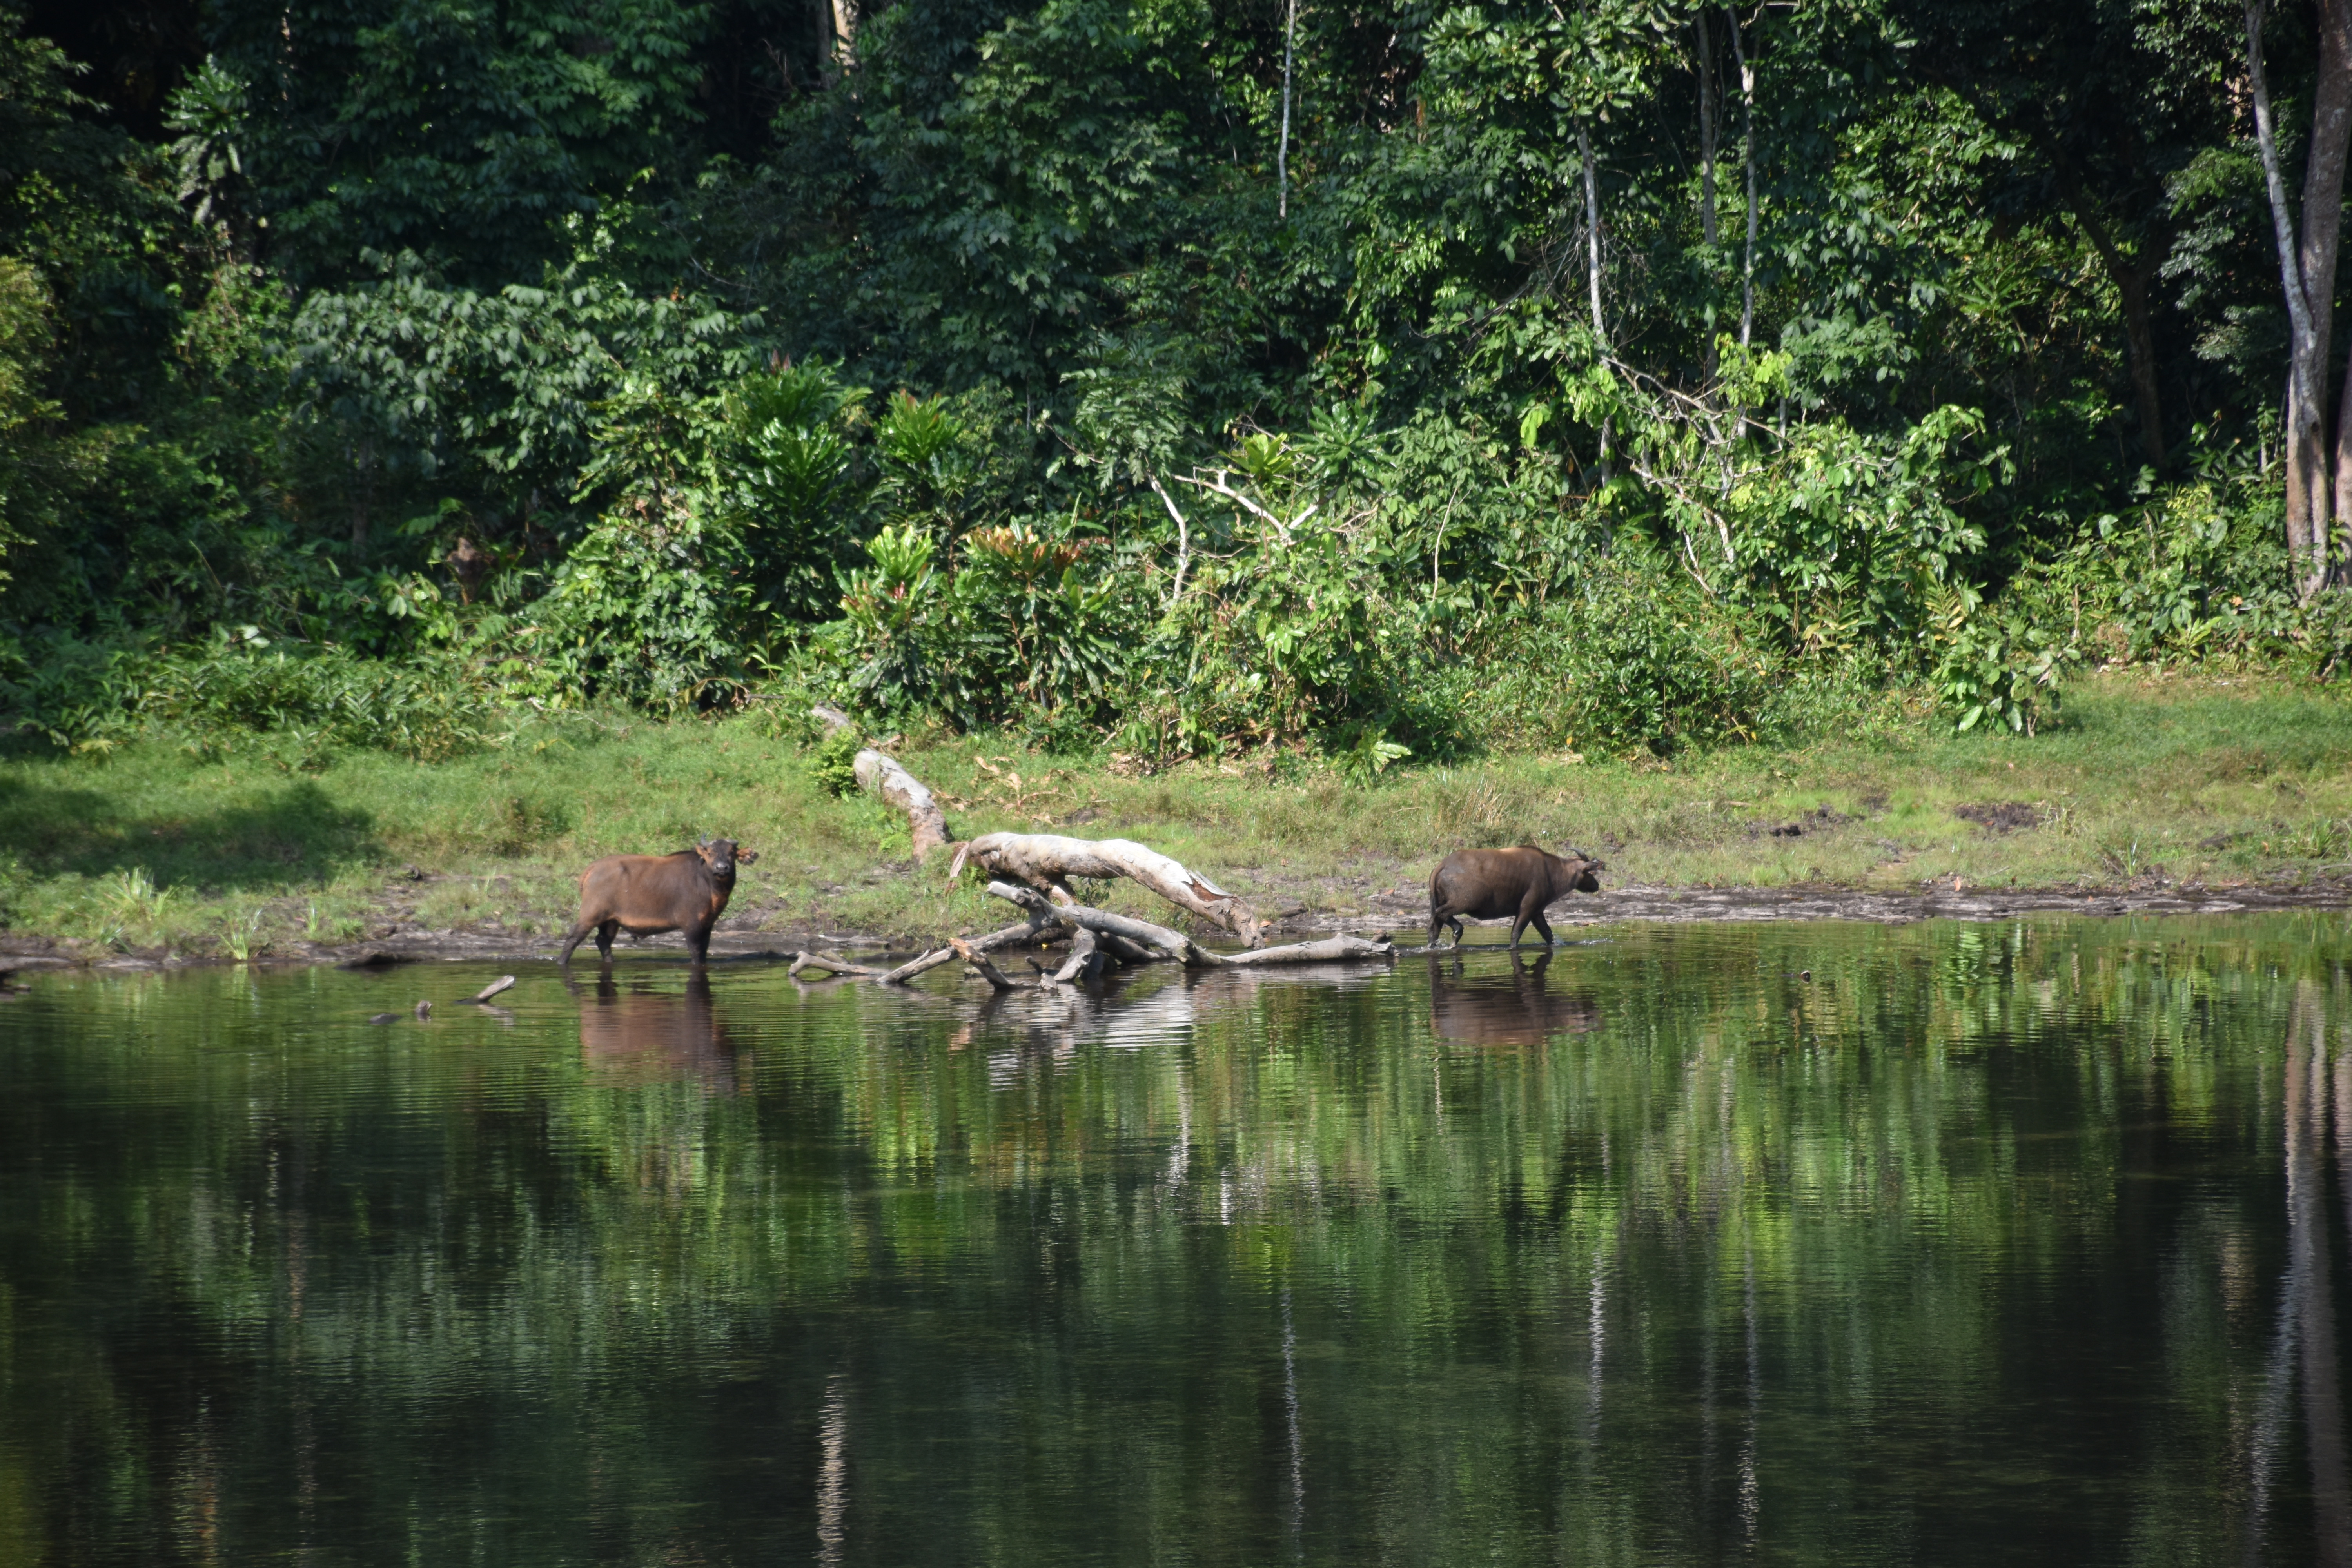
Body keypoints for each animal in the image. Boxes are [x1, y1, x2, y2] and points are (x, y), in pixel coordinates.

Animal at [559, 838, 758, 966]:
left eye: (732, 853)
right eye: (710, 852)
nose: (722, 868)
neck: (707, 883)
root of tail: (592, 869)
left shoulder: (708, 925)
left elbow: (704, 952)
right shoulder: (691, 926)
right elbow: (696, 953)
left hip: (611, 921)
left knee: (603, 941)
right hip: (591, 914)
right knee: (572, 939)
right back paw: (562, 963)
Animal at [1426, 845, 1603, 949]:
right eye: (1590, 873)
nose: (1597, 886)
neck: (1552, 872)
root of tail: (1442, 865)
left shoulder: (1537, 912)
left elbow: (1548, 934)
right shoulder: (1527, 910)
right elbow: (1516, 934)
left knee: (1434, 925)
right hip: (1464, 903)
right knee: (1441, 914)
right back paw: (1457, 932)